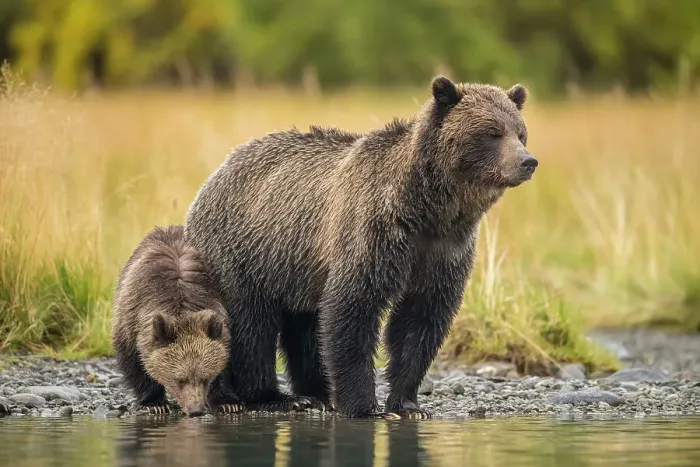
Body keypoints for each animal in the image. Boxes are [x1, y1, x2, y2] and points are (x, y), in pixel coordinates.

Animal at [111, 224, 243, 416]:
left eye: (205, 378)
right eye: (179, 379)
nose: (196, 410)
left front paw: (228, 403)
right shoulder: (132, 316)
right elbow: (134, 362)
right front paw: (154, 403)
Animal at [183, 75, 537, 419]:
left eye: (520, 132)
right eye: (492, 132)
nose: (528, 161)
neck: (429, 210)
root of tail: (215, 173)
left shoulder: (445, 250)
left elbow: (420, 321)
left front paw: (407, 404)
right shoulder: (374, 233)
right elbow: (353, 309)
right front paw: (363, 405)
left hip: (297, 263)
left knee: (304, 326)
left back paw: (317, 393)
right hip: (244, 251)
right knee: (250, 324)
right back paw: (268, 397)